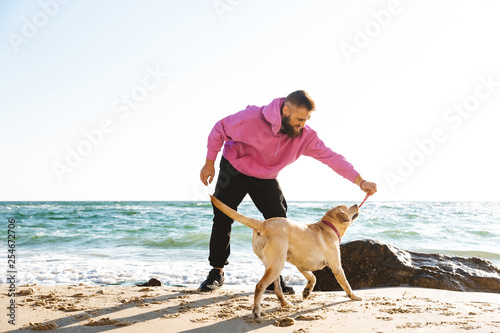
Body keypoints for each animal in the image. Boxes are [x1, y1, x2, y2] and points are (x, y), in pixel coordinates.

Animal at [209, 193, 362, 318]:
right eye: (347, 208)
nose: (355, 204)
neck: (328, 227)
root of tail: (263, 224)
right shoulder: (337, 267)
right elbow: (346, 285)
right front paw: (354, 297)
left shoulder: (301, 265)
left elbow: (312, 277)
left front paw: (306, 291)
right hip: (277, 264)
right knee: (260, 286)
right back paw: (257, 311)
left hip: (274, 264)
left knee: (277, 289)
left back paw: (285, 303)